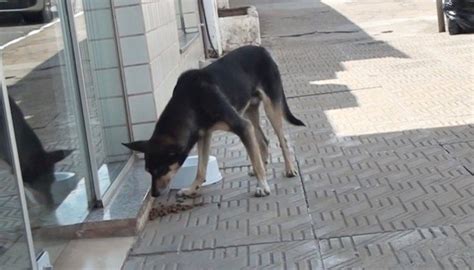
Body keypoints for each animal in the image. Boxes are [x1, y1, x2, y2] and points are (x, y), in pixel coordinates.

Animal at [124, 45, 304, 197]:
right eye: (148, 171)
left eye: (161, 169)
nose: (154, 194)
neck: (191, 100)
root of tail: (262, 50)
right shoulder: (204, 135)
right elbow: (201, 169)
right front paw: (191, 189)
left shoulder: (242, 127)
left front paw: (262, 186)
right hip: (249, 111)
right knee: (263, 140)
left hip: (270, 108)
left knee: (282, 139)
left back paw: (289, 169)